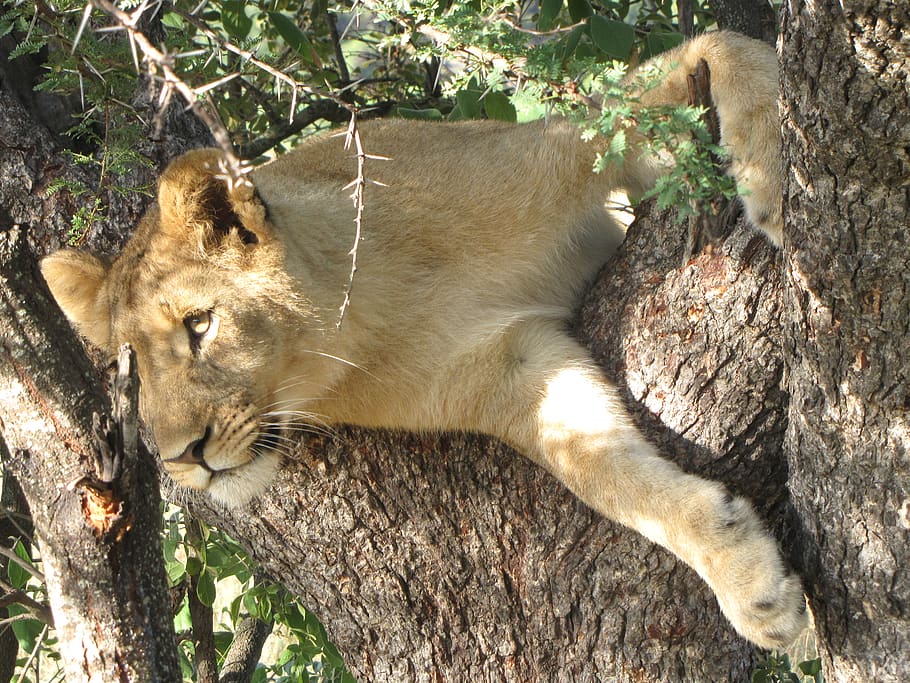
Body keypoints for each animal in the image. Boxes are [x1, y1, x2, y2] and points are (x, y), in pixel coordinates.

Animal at [41, 31, 807, 650]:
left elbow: (720, 46)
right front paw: (748, 579)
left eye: (199, 324)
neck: (364, 310)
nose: (181, 458)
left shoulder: (570, 142)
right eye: (130, 371)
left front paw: (777, 176)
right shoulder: (513, 369)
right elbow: (603, 474)